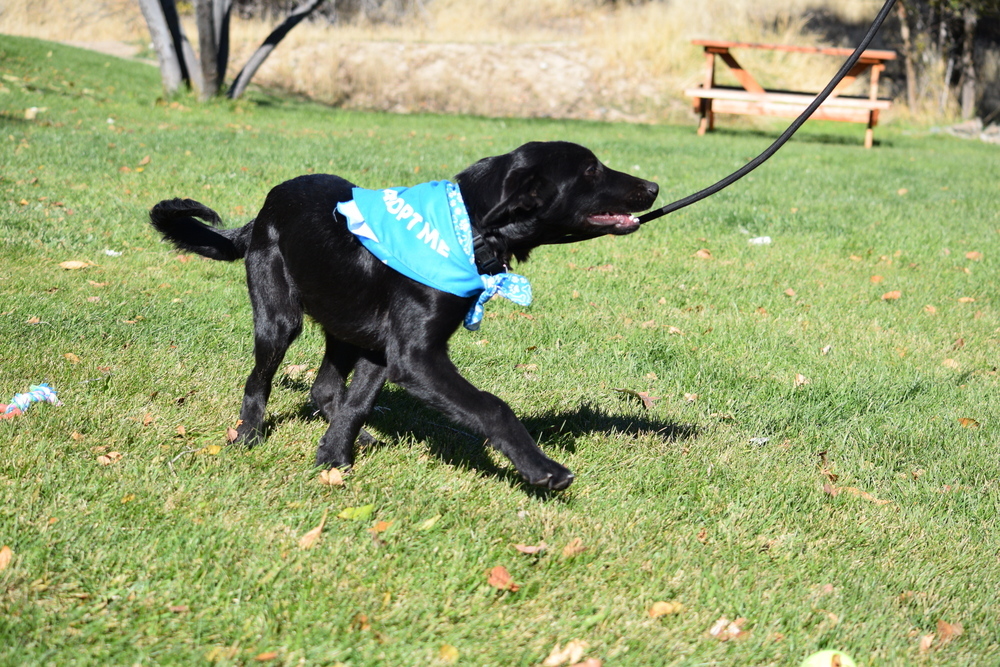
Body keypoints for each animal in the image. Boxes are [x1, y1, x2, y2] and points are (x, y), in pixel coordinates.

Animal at [150, 141, 656, 490]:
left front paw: (333, 458)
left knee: (324, 388)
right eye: (590, 169)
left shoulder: (388, 349)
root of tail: (262, 211)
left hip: (347, 324)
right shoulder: (416, 356)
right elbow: (494, 406)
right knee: (259, 380)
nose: (653, 187)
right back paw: (248, 436)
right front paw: (542, 468)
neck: (466, 227)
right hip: (280, 318)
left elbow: (358, 403)